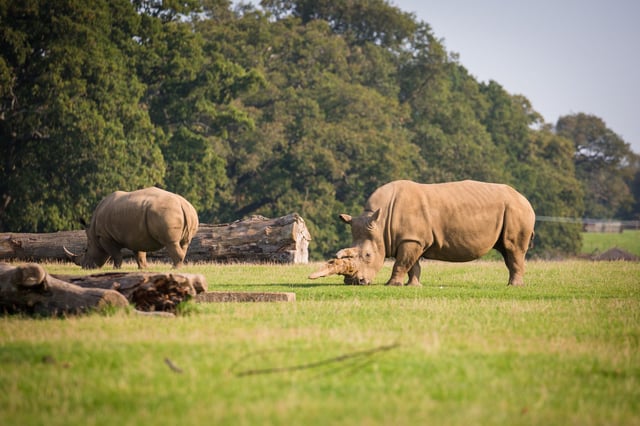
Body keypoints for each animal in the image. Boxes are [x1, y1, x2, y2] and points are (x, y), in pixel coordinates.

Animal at [64, 187, 199, 269]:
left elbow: (116, 254)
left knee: (171, 242)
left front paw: (116, 269)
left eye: (86, 250)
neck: (93, 235)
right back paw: (178, 267)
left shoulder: (105, 237)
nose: (85, 267)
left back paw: (173, 269)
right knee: (184, 243)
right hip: (187, 212)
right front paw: (143, 269)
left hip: (166, 212)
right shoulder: (137, 236)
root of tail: (182, 204)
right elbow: (139, 253)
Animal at [310, 180, 535, 286]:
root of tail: (524, 198)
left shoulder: (411, 239)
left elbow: (402, 263)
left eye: (367, 255)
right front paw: (413, 286)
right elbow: (413, 265)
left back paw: (514, 287)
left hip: (517, 210)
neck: (381, 224)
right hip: (512, 209)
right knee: (506, 251)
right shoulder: (414, 239)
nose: (354, 282)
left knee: (513, 248)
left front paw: (392, 285)